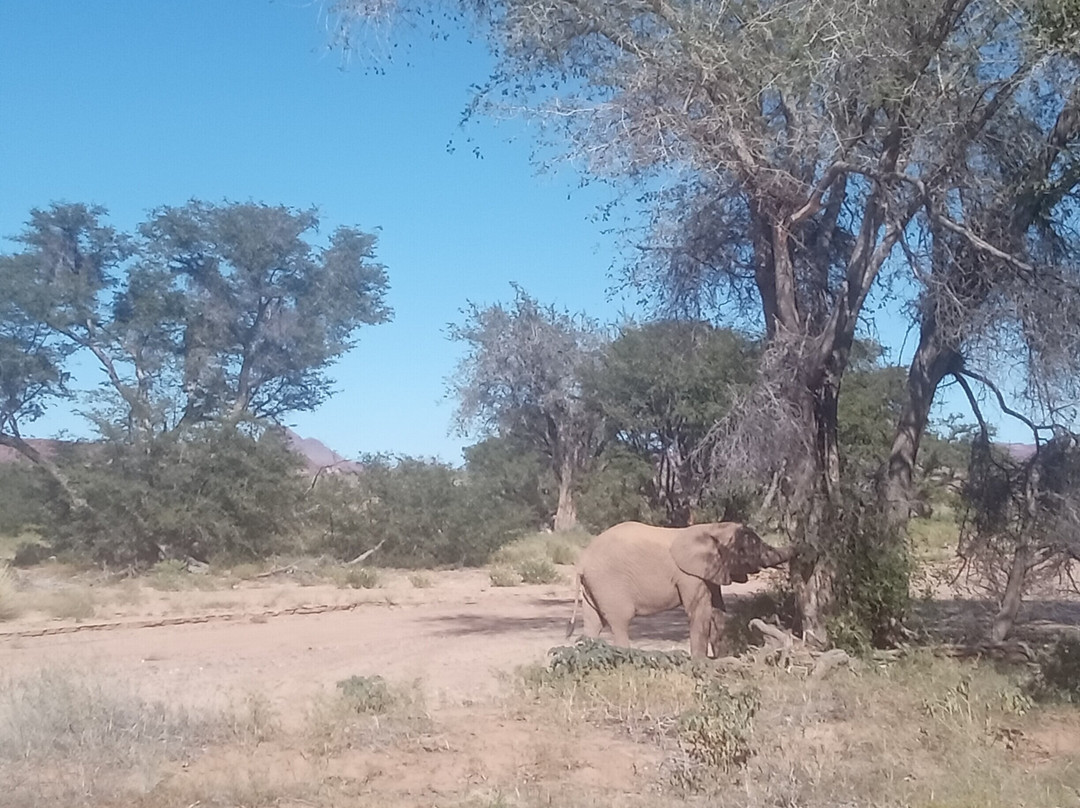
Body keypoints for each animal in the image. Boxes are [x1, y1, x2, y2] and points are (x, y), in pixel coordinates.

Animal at [566, 521, 795, 658]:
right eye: (747, 549)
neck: (712, 528)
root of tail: (581, 562)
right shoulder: (689, 575)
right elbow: (700, 612)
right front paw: (701, 663)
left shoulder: (710, 570)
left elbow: (717, 611)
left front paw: (723, 658)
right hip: (608, 583)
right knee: (619, 621)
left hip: (593, 586)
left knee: (593, 623)